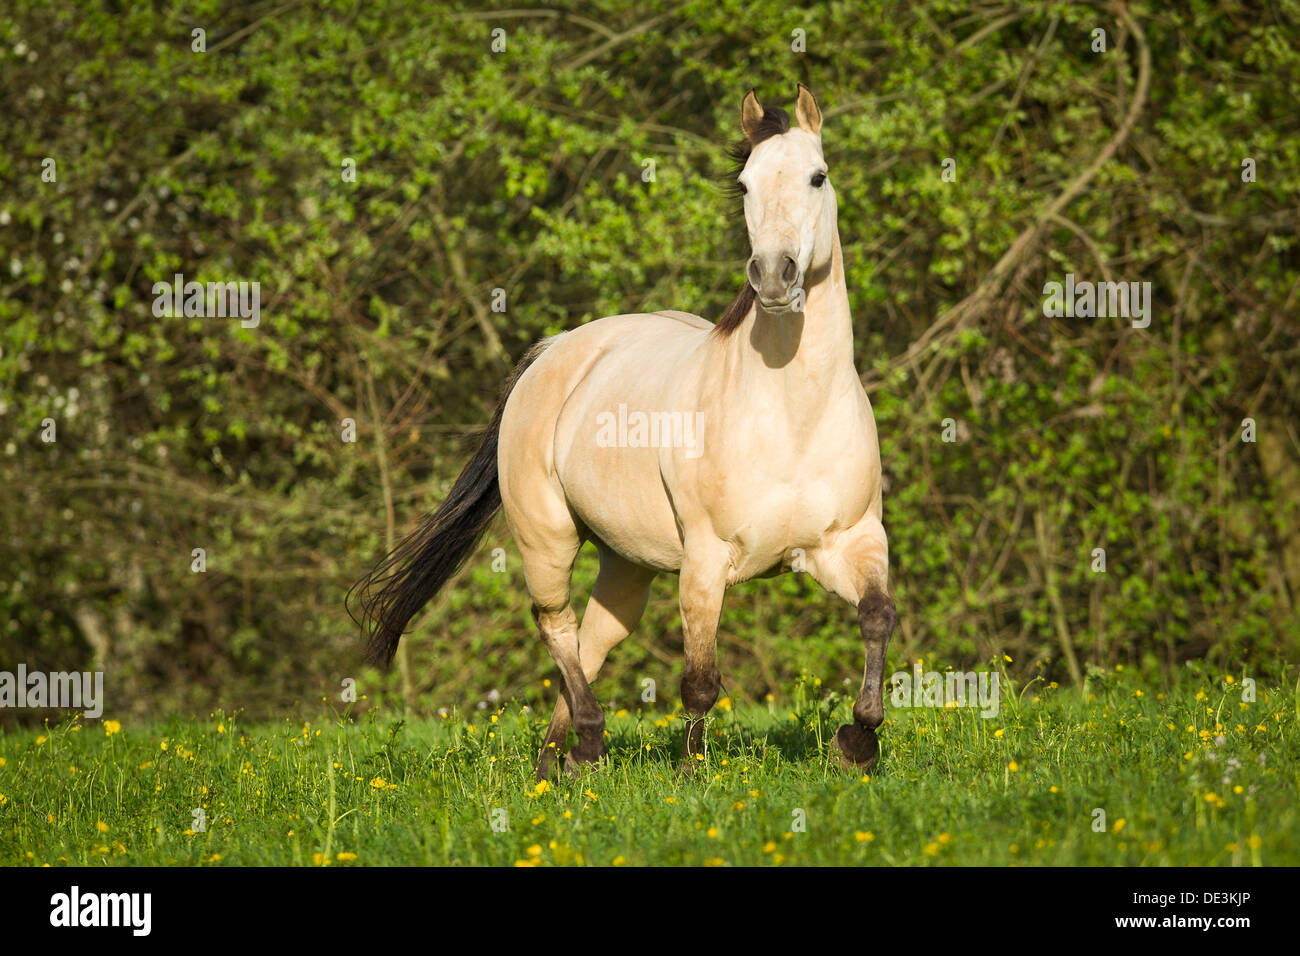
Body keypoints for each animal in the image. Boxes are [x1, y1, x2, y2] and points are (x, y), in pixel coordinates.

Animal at [351, 85, 896, 780]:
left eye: (817, 176)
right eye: (744, 184)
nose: (775, 276)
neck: (793, 412)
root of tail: (555, 352)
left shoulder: (850, 541)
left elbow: (877, 617)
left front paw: (857, 743)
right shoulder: (705, 560)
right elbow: (699, 680)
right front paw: (692, 775)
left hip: (627, 565)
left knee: (592, 640)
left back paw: (555, 764)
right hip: (548, 539)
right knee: (555, 625)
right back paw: (587, 744)